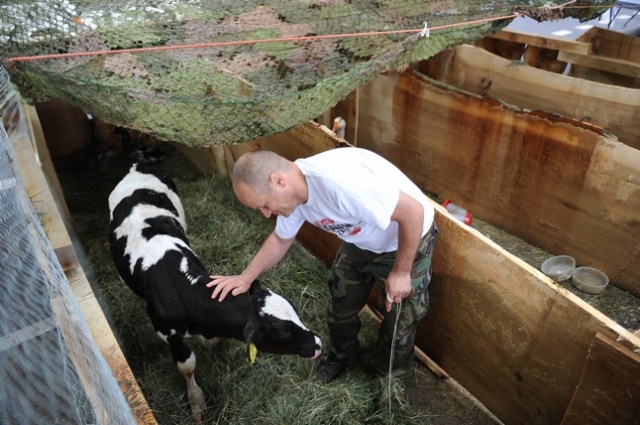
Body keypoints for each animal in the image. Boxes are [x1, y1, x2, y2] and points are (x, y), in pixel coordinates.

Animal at [109, 162, 324, 420]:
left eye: (295, 312)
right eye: (282, 332)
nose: (317, 343)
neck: (181, 288)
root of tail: (135, 165)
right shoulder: (166, 332)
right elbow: (187, 365)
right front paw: (196, 402)